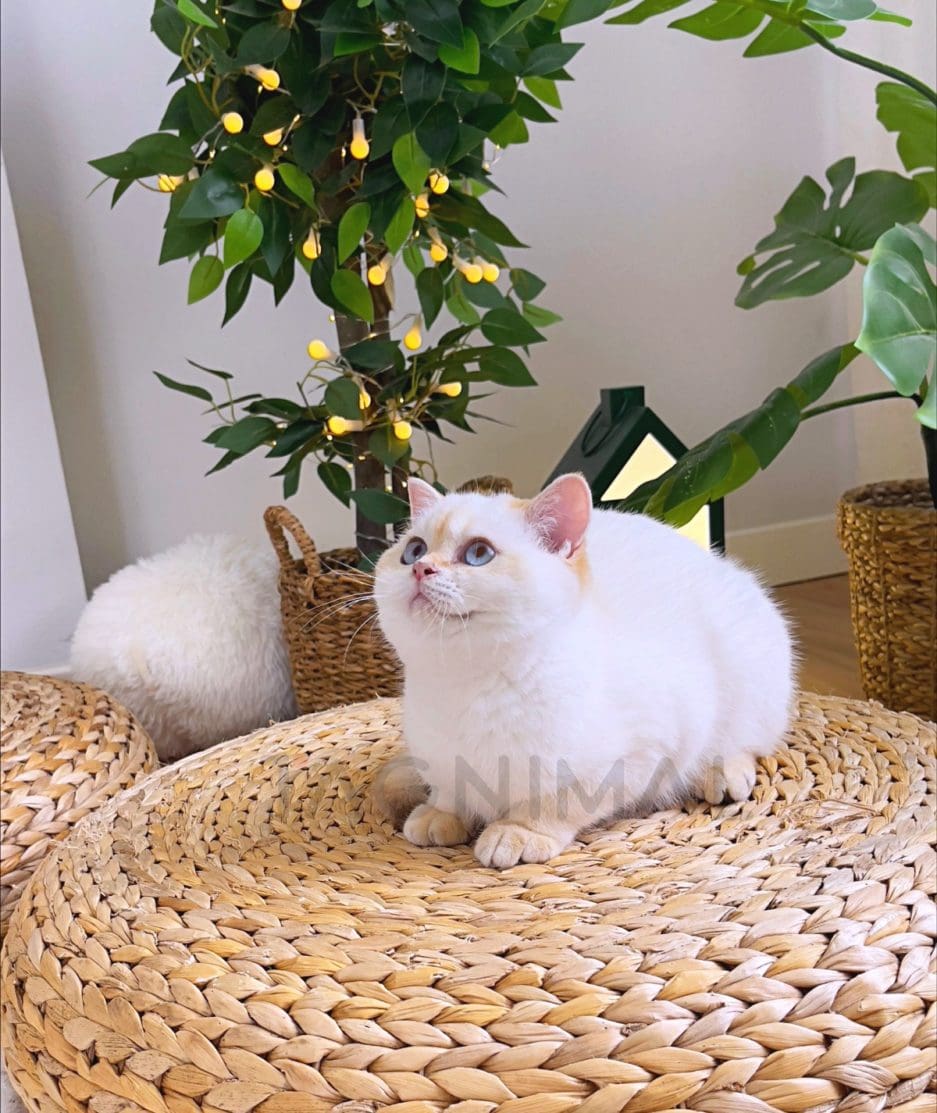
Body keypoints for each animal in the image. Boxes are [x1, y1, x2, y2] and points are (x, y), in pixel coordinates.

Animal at [373, 473, 795, 869]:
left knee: (747, 741)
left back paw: (723, 774)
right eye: (413, 550)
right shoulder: (440, 760)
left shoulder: (640, 753)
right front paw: (441, 814)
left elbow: (557, 802)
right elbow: (449, 790)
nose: (421, 569)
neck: (465, 686)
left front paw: (519, 831)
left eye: (478, 553)